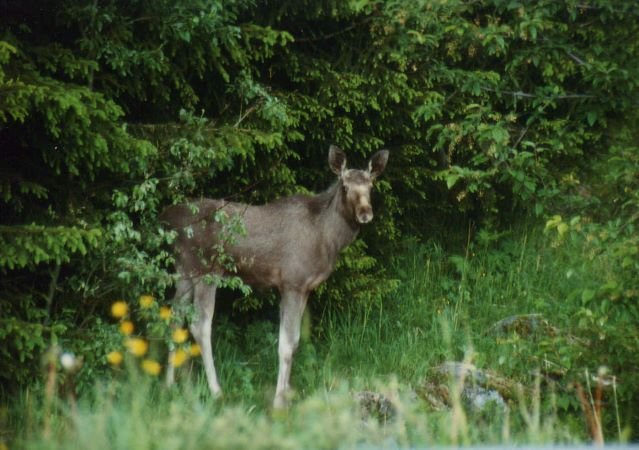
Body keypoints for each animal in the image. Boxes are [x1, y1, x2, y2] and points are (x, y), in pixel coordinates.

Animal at [162, 145, 388, 408]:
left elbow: (297, 340)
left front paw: (288, 392)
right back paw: (216, 391)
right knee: (199, 326)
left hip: (184, 271)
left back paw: (169, 384)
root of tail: (167, 219)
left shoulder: (304, 288)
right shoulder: (292, 282)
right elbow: (286, 344)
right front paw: (280, 401)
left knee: (174, 316)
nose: (365, 213)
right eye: (344, 185)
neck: (327, 238)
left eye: (371, 185)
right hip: (206, 271)